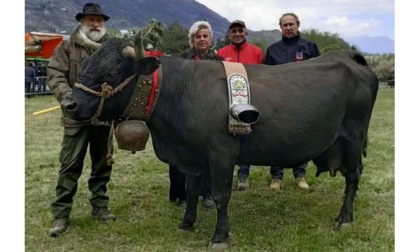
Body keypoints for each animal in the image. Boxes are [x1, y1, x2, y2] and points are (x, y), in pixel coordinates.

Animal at [65, 30, 378, 249]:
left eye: (110, 72)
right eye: (86, 64)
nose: (69, 104)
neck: (180, 91)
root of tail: (348, 56)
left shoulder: (222, 152)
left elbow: (220, 195)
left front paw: (220, 236)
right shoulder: (192, 156)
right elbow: (191, 190)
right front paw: (187, 223)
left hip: (354, 136)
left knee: (353, 176)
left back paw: (345, 218)